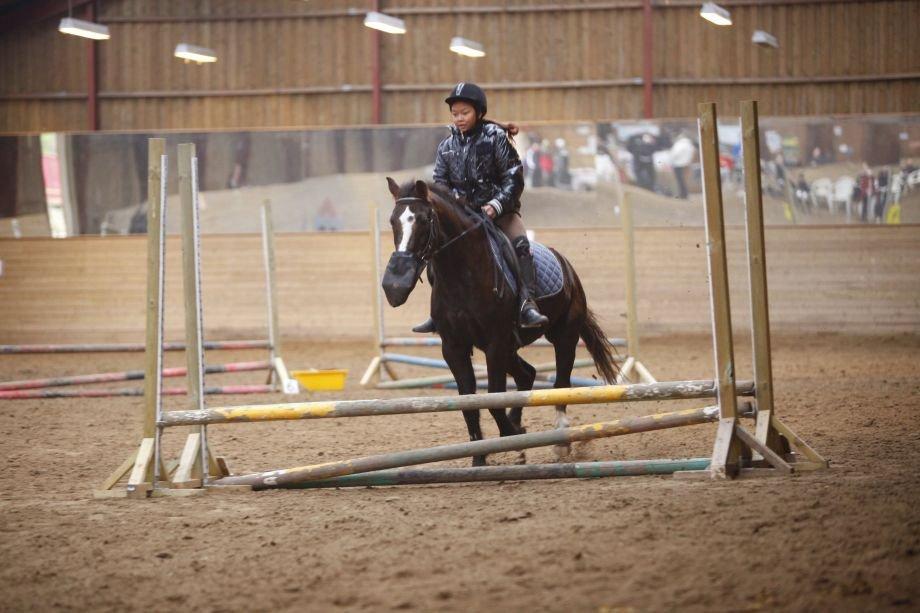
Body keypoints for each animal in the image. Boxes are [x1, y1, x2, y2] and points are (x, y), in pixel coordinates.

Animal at [381, 178, 618, 466]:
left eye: (425, 220)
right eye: (393, 221)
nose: (394, 287)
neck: (462, 275)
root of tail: (567, 267)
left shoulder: (495, 343)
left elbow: (494, 399)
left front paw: (510, 436)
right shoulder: (454, 347)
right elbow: (469, 403)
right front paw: (480, 457)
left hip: (563, 336)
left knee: (561, 383)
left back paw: (560, 439)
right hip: (510, 347)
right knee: (528, 374)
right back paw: (519, 428)